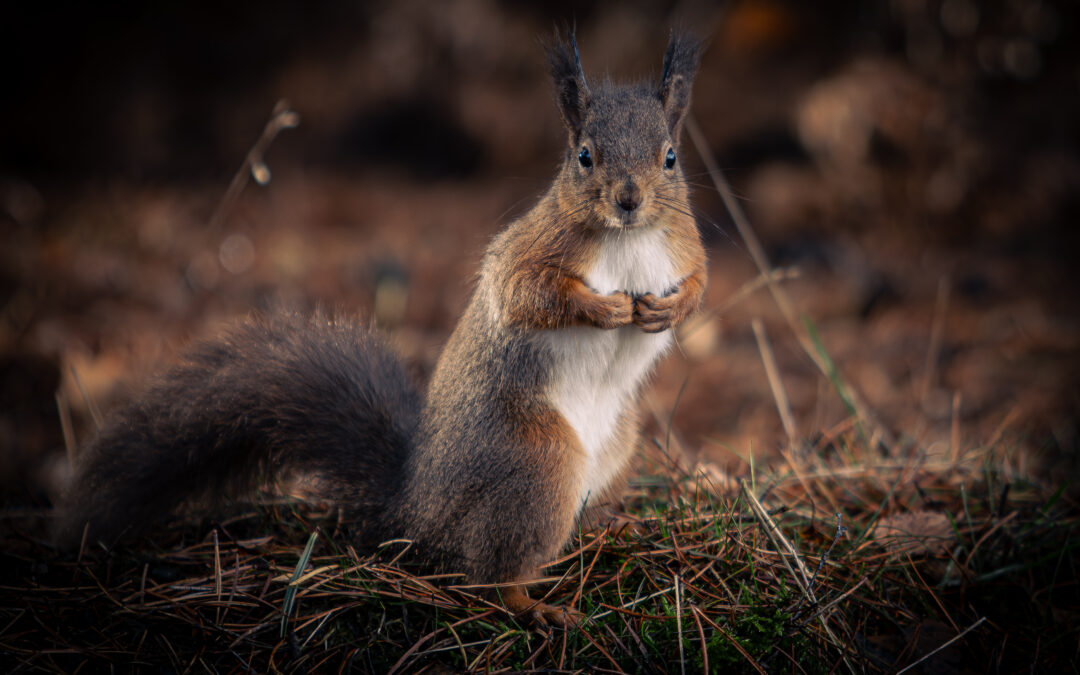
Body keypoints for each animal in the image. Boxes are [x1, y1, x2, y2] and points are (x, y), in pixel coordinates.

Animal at [55, 30, 706, 627]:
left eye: (671, 157)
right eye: (585, 156)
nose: (628, 200)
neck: (627, 239)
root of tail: (415, 505)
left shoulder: (685, 246)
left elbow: (700, 282)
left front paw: (667, 312)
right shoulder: (530, 251)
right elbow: (525, 293)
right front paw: (605, 310)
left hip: (617, 448)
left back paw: (602, 538)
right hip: (536, 462)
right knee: (488, 573)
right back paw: (531, 603)